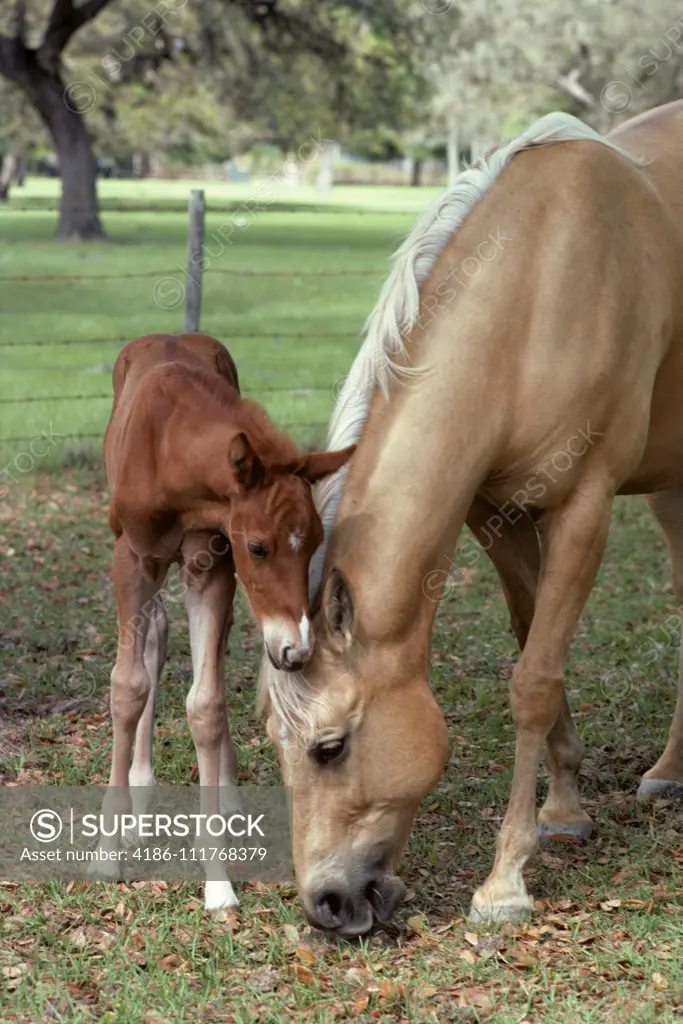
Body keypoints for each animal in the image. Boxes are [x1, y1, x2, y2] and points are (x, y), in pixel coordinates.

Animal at [95, 331, 356, 909]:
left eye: (316, 542)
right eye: (258, 547)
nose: (296, 649)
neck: (170, 454)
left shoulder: (210, 566)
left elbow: (207, 704)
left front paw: (217, 882)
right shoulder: (130, 559)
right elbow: (127, 686)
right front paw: (106, 851)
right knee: (153, 635)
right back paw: (139, 796)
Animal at [260, 101, 683, 937]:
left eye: (329, 746)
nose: (325, 906)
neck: (539, 287)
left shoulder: (582, 508)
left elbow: (533, 680)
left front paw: (504, 882)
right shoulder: (497, 517)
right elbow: (533, 645)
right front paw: (564, 811)